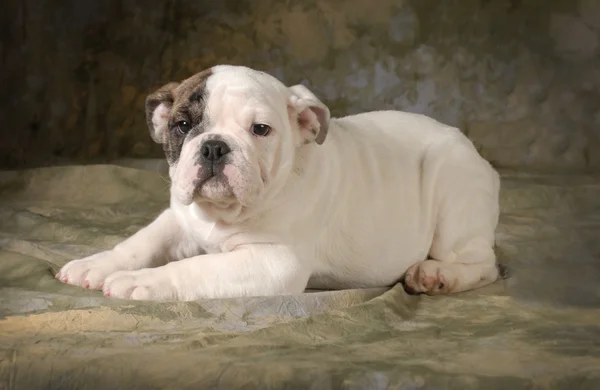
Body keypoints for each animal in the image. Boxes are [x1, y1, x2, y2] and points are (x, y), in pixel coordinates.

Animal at [56, 64, 500, 302]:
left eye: (260, 129)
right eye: (182, 125)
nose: (214, 147)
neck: (222, 215)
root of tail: (481, 160)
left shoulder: (272, 263)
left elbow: (196, 267)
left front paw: (141, 282)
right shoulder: (180, 218)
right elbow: (140, 241)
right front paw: (97, 264)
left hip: (453, 193)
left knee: (486, 266)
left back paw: (436, 275)